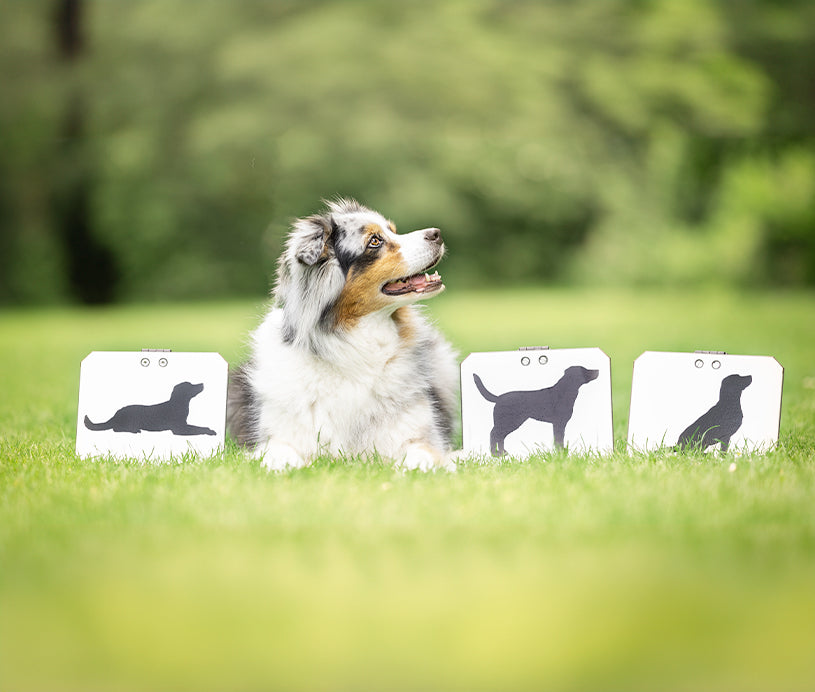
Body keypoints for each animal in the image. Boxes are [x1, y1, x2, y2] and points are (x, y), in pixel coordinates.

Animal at [84, 382, 215, 436]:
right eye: (190, 385)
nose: (202, 383)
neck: (177, 404)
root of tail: (115, 414)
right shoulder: (179, 428)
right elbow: (197, 428)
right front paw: (210, 431)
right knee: (116, 429)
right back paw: (135, 430)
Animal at [228, 197, 460, 474]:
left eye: (393, 230)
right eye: (375, 241)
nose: (437, 234)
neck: (357, 343)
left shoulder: (419, 437)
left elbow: (420, 459)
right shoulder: (278, 438)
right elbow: (280, 457)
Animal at [474, 364, 604, 456]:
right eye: (585, 370)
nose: (598, 370)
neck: (564, 391)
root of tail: (498, 398)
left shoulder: (558, 424)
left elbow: (558, 438)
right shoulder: (559, 423)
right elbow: (559, 439)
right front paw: (561, 453)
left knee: (500, 436)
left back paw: (502, 453)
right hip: (508, 422)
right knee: (494, 434)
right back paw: (495, 454)